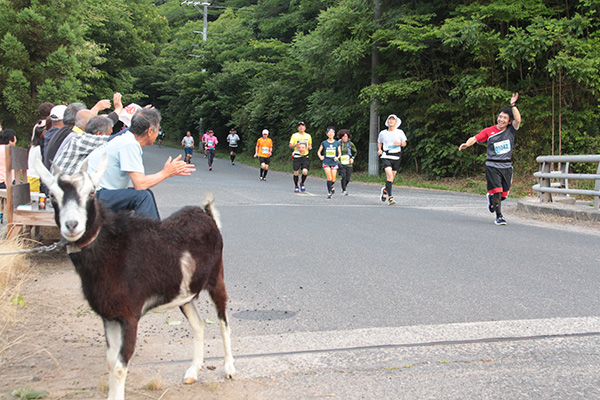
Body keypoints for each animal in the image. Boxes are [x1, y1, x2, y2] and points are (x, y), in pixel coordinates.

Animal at [34, 158, 237, 400]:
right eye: (53, 195)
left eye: (91, 192)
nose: (72, 225)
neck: (111, 252)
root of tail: (207, 214)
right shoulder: (109, 316)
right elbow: (111, 363)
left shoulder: (130, 316)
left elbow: (120, 368)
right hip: (184, 294)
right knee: (199, 325)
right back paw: (192, 372)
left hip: (216, 278)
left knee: (223, 320)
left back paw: (229, 369)